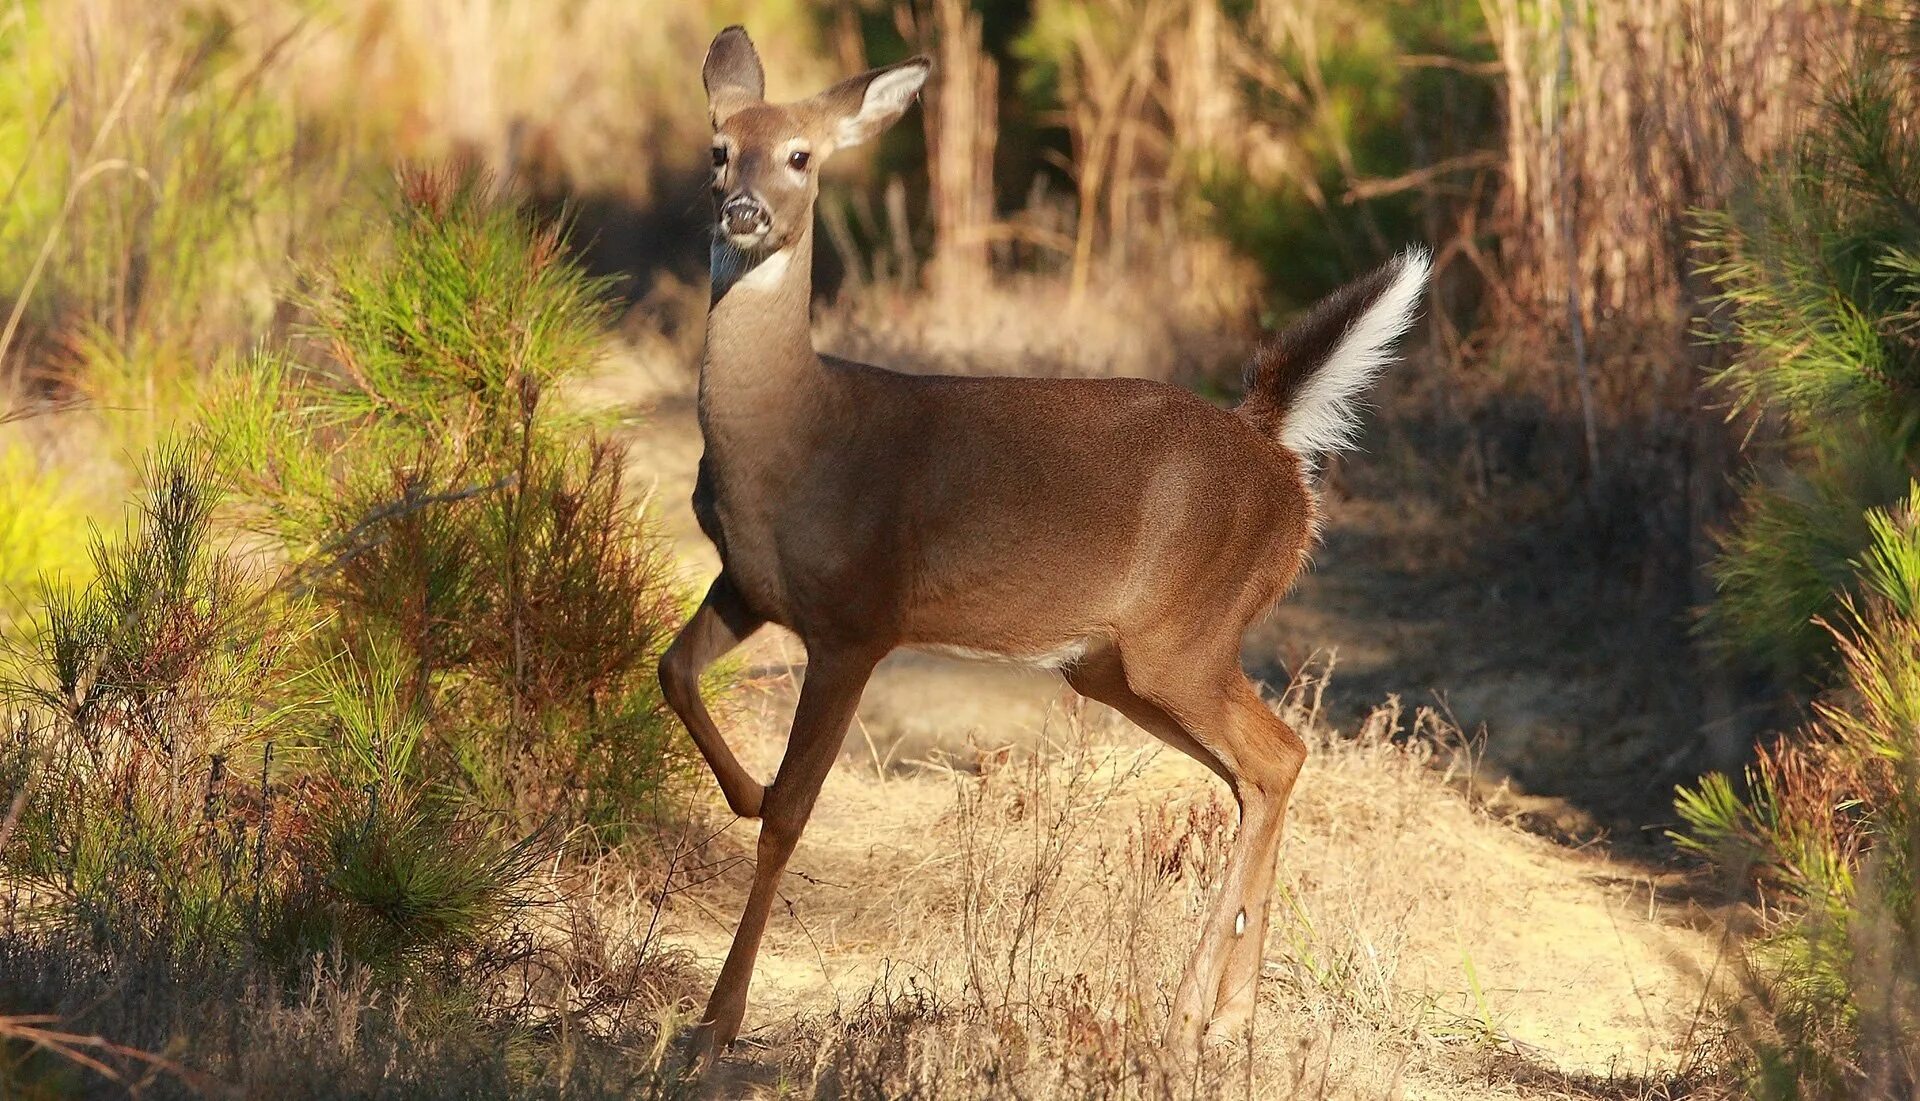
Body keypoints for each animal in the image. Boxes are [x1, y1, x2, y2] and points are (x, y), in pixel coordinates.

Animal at [660, 25, 1428, 1068]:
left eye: (801, 156)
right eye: (718, 149)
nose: (743, 212)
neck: (791, 442)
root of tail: (1277, 450)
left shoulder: (860, 616)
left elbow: (791, 814)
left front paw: (716, 1022)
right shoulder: (746, 584)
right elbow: (673, 671)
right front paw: (740, 788)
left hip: (1185, 632)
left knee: (1275, 754)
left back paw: (1188, 1020)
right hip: (1112, 662)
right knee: (1262, 766)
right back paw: (1228, 1015)